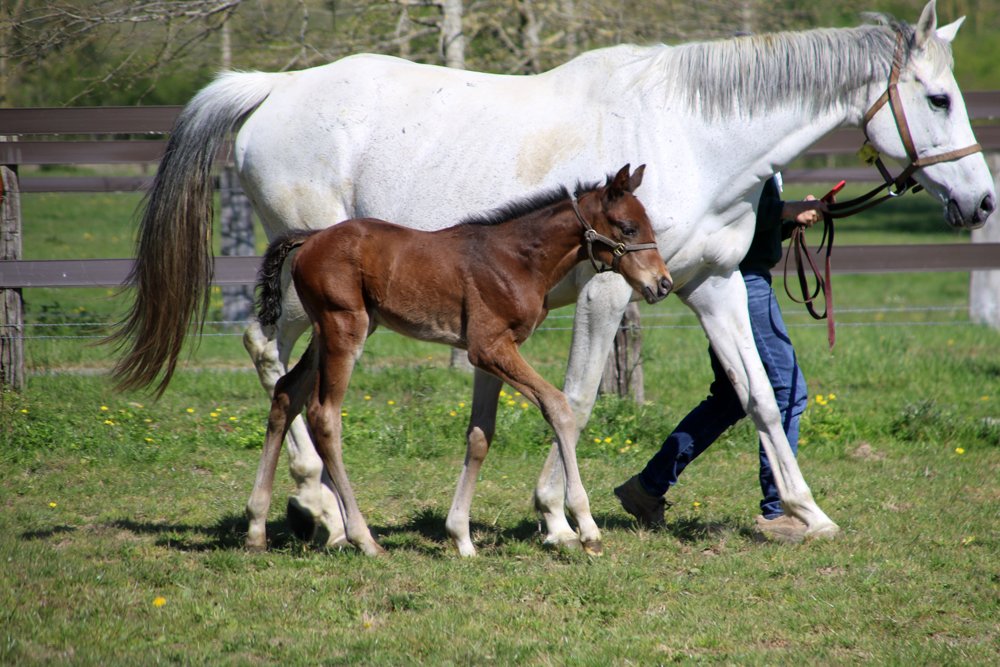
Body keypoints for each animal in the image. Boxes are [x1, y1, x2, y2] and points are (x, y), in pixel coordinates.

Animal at [245, 165, 671, 556]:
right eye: (628, 228)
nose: (662, 283)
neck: (518, 260)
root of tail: (311, 238)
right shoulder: (489, 347)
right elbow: (558, 406)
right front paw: (585, 527)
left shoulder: (492, 352)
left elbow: (480, 435)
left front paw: (461, 537)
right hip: (343, 327)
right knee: (324, 414)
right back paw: (362, 538)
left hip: (328, 332)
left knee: (286, 393)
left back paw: (256, 529)